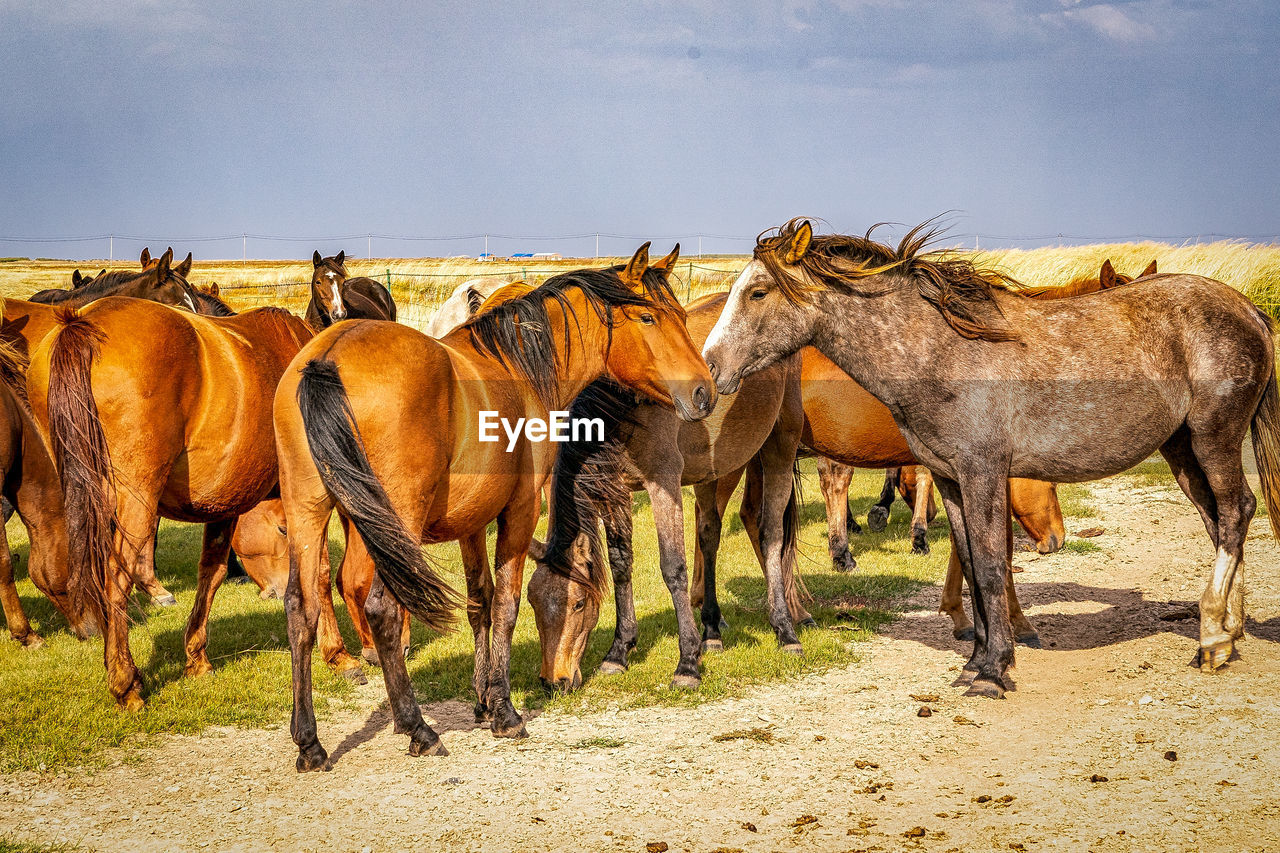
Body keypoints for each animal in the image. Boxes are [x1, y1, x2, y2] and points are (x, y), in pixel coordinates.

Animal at [28, 295, 318, 706]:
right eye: (280, 529)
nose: (275, 592)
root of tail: (81, 324)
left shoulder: (224, 505)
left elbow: (212, 573)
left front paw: (196, 658)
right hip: (133, 505)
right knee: (116, 578)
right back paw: (125, 683)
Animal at [275, 242, 716, 768]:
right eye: (648, 317)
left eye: (679, 316)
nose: (703, 391)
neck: (521, 367)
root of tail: (327, 358)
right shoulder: (520, 512)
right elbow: (505, 605)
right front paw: (505, 711)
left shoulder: (471, 522)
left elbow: (480, 603)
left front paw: (484, 699)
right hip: (391, 525)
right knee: (382, 609)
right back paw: (418, 728)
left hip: (308, 513)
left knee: (300, 611)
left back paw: (309, 742)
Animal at [524, 292, 803, 691]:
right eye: (532, 602)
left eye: (577, 603)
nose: (554, 681)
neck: (624, 406)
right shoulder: (617, 491)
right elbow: (621, 564)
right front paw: (619, 651)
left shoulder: (663, 484)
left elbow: (673, 567)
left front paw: (687, 663)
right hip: (713, 472)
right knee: (709, 535)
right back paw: (712, 630)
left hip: (780, 446)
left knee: (771, 534)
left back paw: (785, 631)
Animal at [706, 216, 1280, 696]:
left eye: (758, 292)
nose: (710, 367)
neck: (940, 351)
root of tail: (1248, 310)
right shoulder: (951, 478)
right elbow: (974, 563)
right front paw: (979, 658)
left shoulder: (982, 473)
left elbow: (987, 565)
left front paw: (994, 669)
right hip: (1182, 449)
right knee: (1218, 519)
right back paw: (1228, 633)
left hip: (1212, 439)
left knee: (1235, 513)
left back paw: (1213, 638)